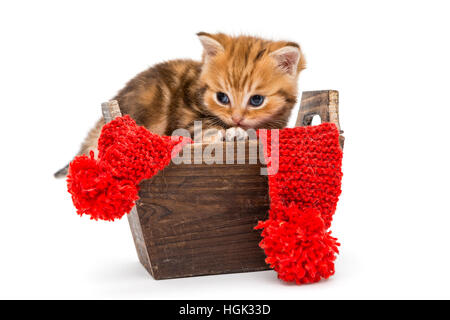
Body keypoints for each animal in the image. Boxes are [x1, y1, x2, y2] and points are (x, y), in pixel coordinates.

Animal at [53, 32, 306, 178]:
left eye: (256, 100)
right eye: (222, 97)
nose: (236, 118)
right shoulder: (188, 121)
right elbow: (207, 128)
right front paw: (232, 132)